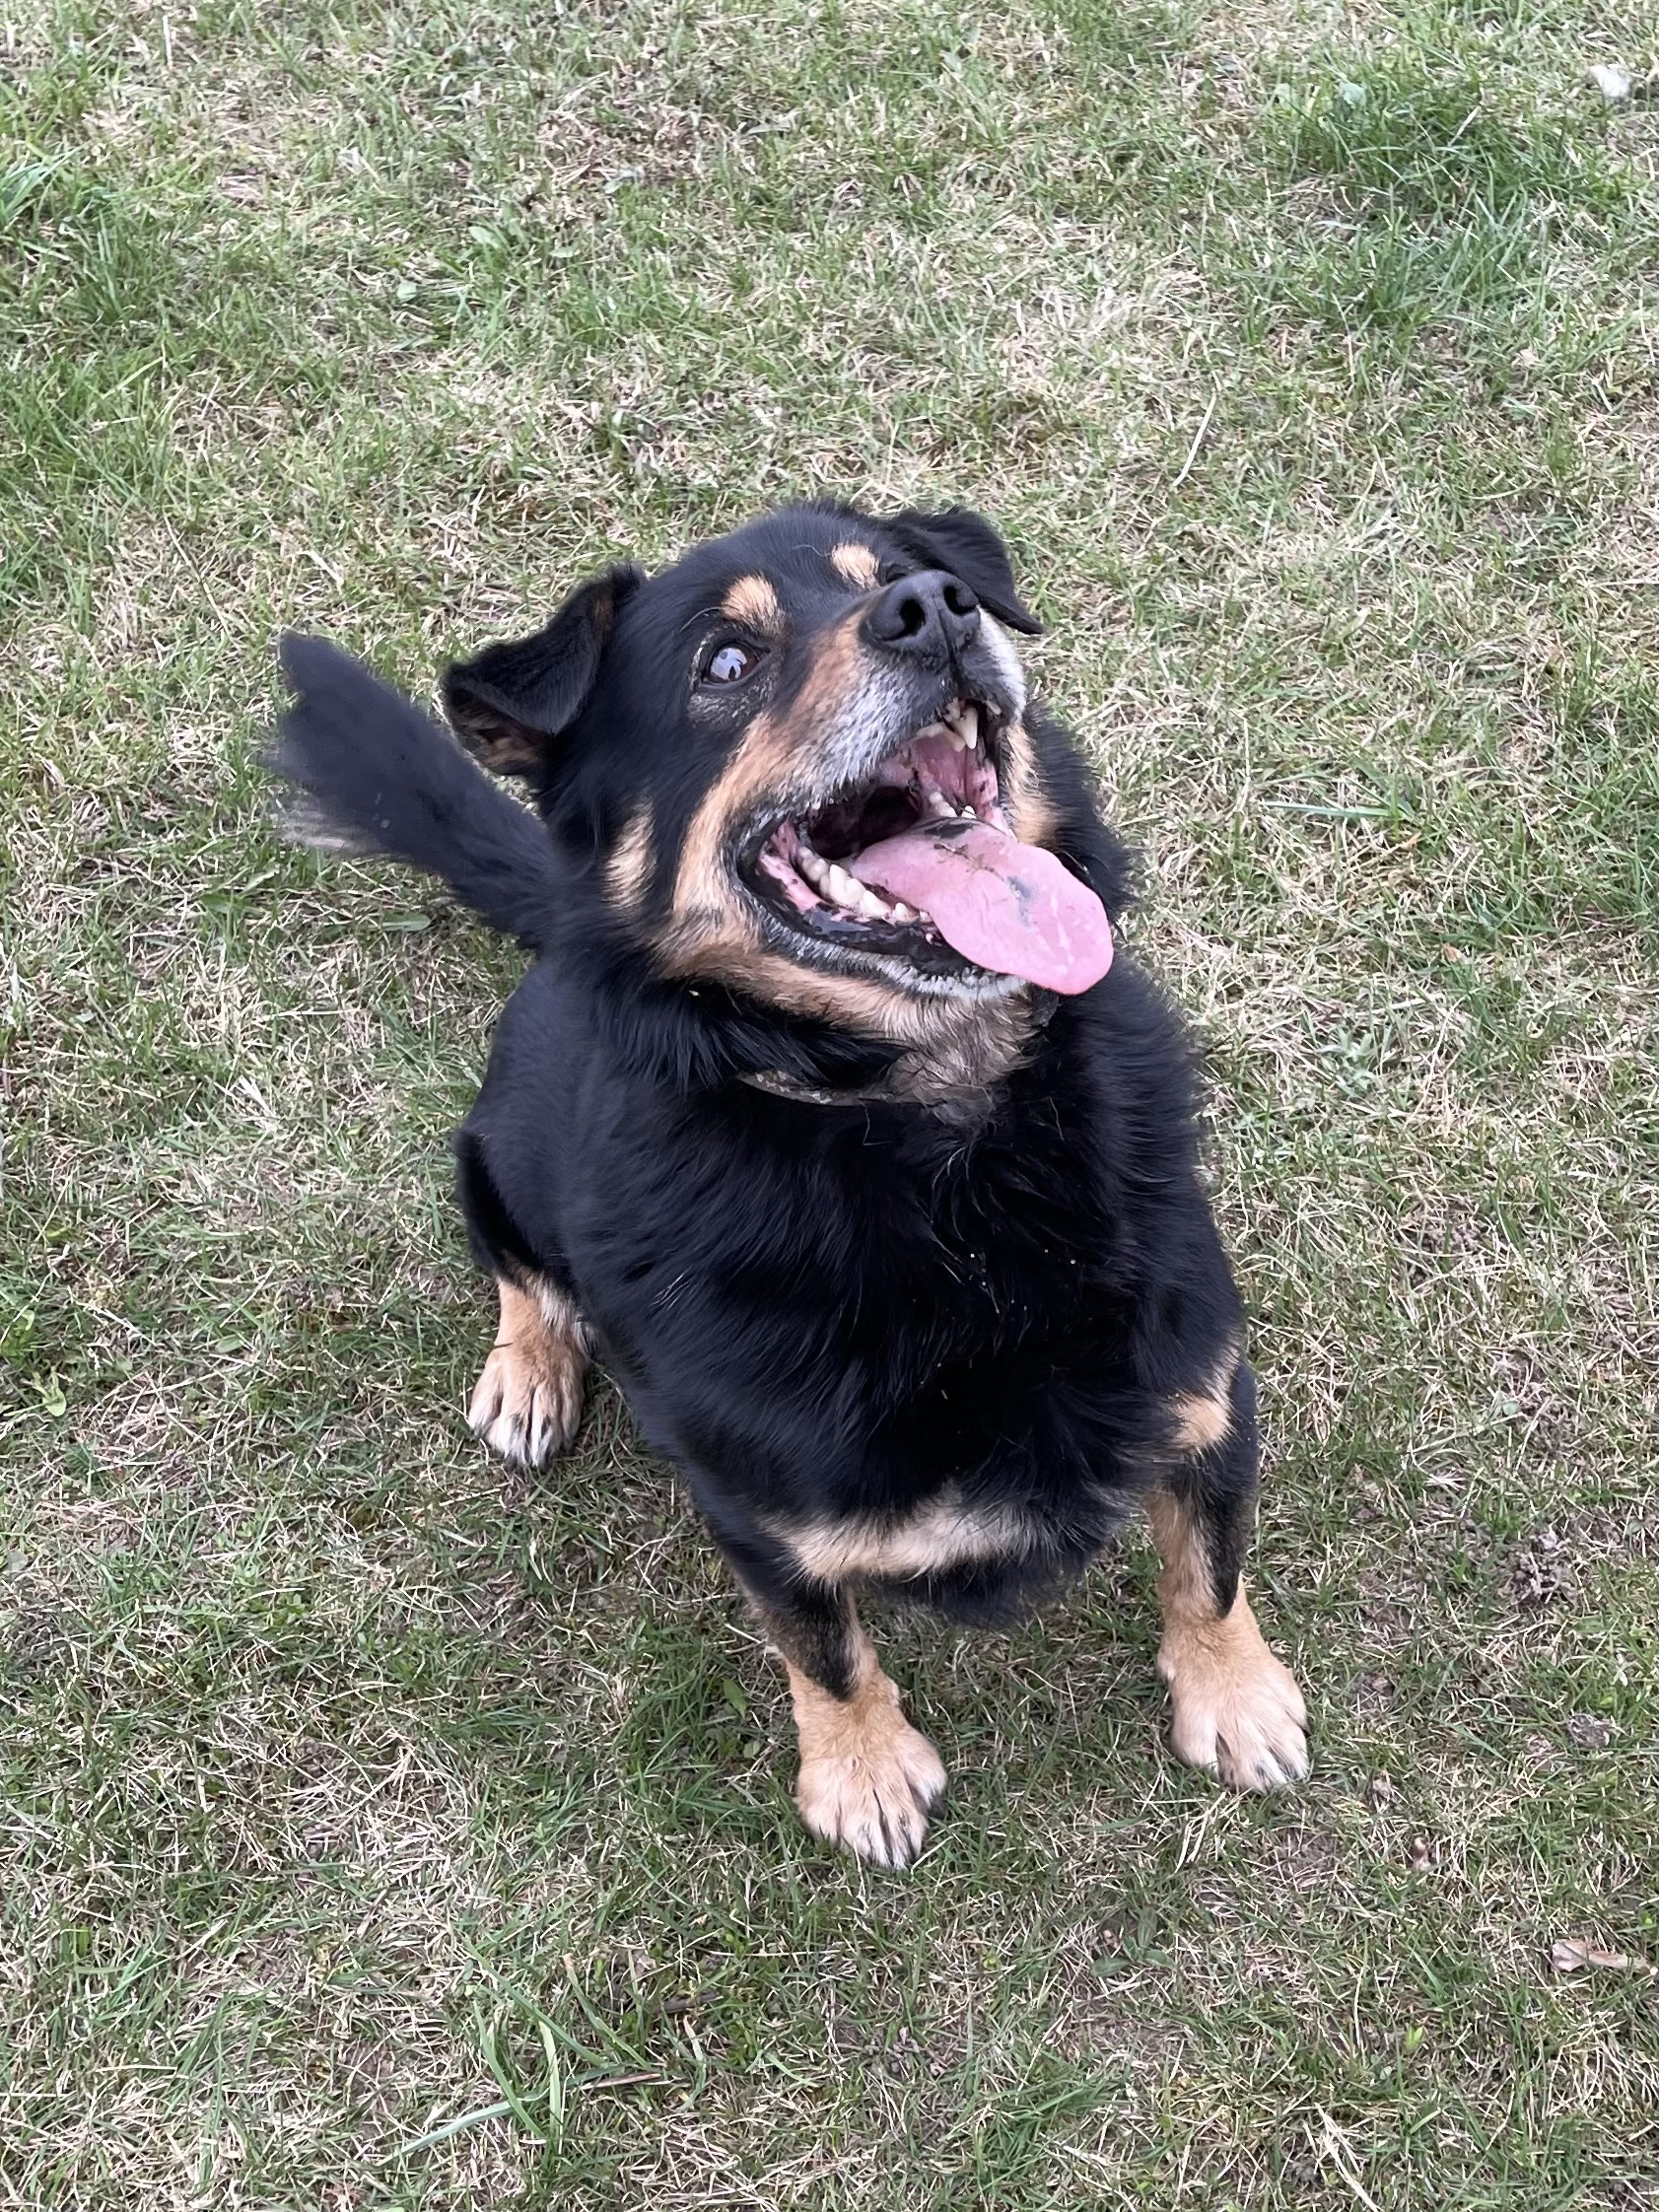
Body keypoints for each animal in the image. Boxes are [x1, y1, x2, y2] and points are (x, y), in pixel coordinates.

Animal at [271, 500, 1308, 1866]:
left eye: (905, 577)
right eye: (726, 663)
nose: (935, 610)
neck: (939, 1132)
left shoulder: (1204, 1390)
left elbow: (1211, 1563)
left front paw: (1234, 1692)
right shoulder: (760, 1515)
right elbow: (824, 1650)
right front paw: (861, 1770)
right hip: (487, 1156)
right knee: (522, 1274)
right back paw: (529, 1373)